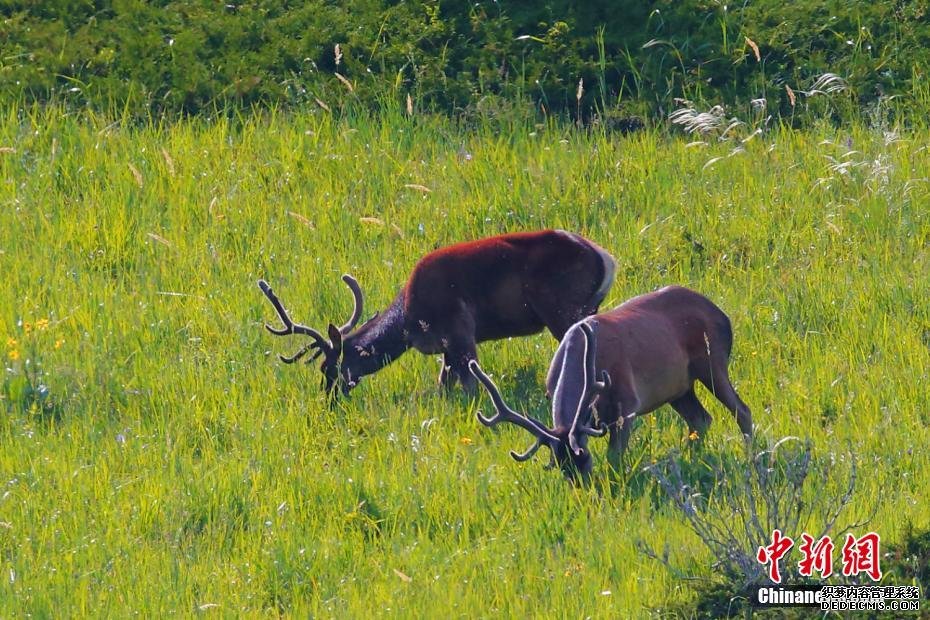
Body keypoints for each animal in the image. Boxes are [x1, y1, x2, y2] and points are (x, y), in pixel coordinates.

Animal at [258, 229, 612, 398]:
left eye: (327, 368)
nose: (329, 400)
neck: (409, 323)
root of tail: (606, 259)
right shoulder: (447, 348)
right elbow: (445, 383)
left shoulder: (460, 331)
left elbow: (469, 385)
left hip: (562, 308)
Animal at [472, 286, 752, 484]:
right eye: (561, 465)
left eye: (584, 457)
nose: (582, 489)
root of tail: (721, 314)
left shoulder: (627, 404)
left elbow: (614, 458)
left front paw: (616, 485)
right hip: (678, 389)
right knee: (700, 419)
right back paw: (691, 459)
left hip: (712, 362)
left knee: (742, 410)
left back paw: (750, 455)